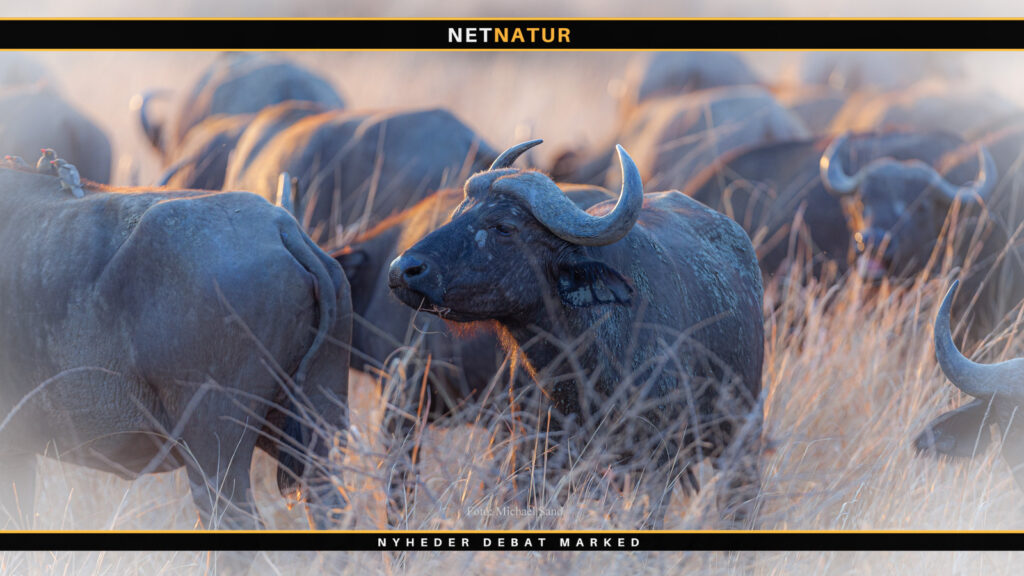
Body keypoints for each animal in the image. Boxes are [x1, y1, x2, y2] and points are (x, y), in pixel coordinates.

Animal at [389, 140, 765, 527]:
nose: (403, 269)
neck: (579, 370)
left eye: (504, 226)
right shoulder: (533, 460)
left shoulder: (655, 463)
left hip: (741, 436)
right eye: (459, 212)